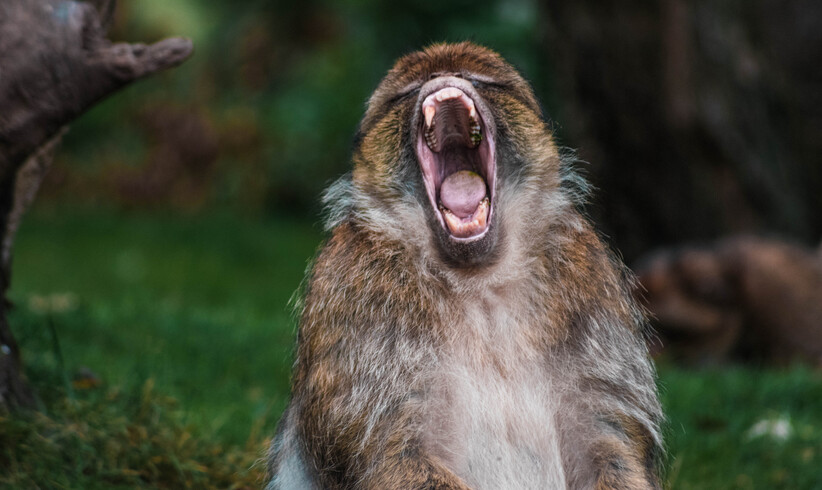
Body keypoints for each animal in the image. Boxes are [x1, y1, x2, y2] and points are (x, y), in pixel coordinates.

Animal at [268, 43, 668, 490]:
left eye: (482, 80)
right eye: (406, 91)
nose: (442, 77)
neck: (479, 281)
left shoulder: (591, 285)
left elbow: (607, 441)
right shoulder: (351, 293)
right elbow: (392, 451)